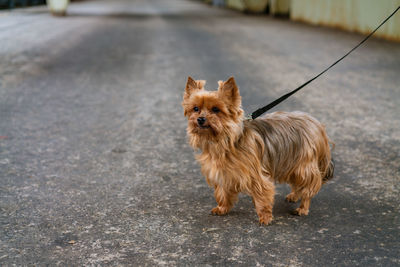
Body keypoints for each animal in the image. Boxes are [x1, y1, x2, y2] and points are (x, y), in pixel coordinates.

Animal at [182, 76, 334, 225]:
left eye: (215, 109)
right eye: (195, 108)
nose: (200, 119)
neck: (224, 141)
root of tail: (317, 125)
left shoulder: (256, 175)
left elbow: (262, 195)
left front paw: (265, 217)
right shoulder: (224, 172)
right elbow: (223, 192)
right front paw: (222, 208)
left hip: (304, 164)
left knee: (307, 186)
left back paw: (302, 208)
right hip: (291, 161)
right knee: (297, 183)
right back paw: (294, 196)